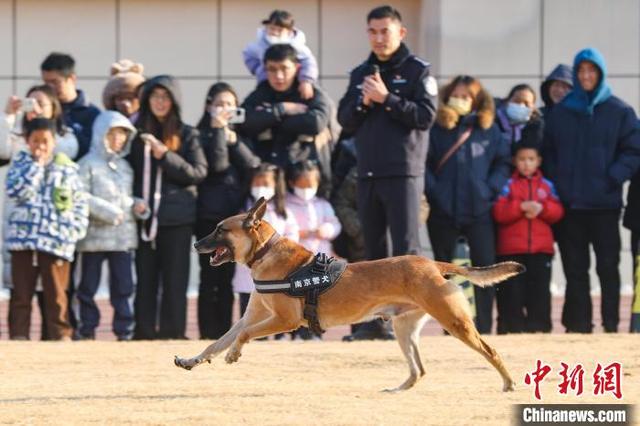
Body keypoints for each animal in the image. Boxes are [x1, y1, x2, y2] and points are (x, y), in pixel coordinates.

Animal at [172, 198, 524, 392]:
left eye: (220, 230)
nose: (195, 244)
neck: (265, 252)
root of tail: (432, 262)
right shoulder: (250, 318)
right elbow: (217, 341)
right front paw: (192, 359)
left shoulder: (284, 321)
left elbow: (242, 337)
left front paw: (234, 354)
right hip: (403, 328)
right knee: (419, 369)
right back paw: (398, 389)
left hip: (455, 323)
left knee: (491, 351)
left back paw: (508, 383)